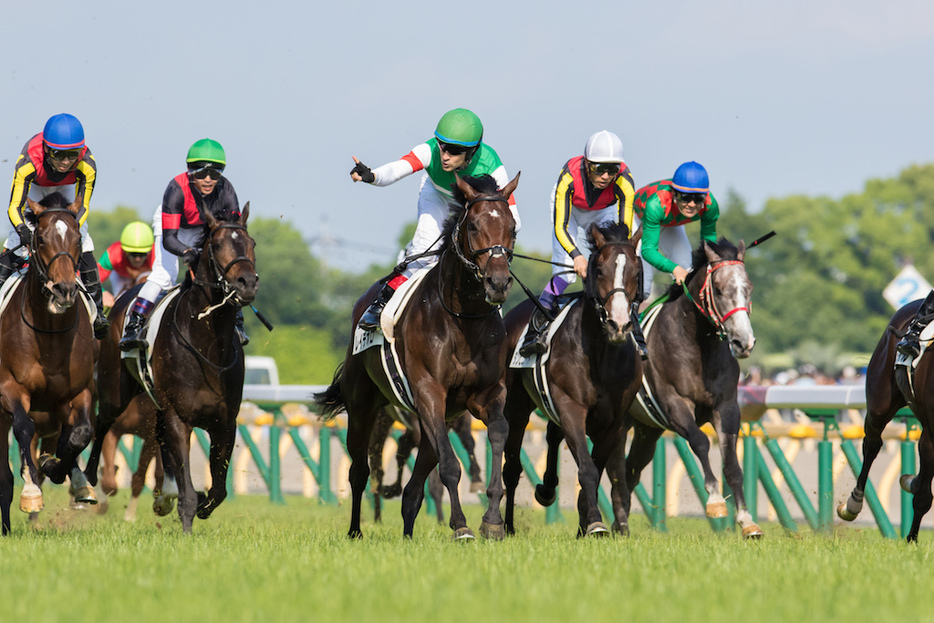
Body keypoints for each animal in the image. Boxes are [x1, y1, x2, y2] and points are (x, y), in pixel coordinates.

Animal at [0, 193, 96, 532]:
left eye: (77, 239)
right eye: (40, 239)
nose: (64, 290)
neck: (49, 334)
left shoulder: (78, 392)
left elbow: (81, 434)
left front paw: (59, 469)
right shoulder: (10, 388)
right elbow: (24, 428)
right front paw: (31, 493)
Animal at [84, 204, 258, 532]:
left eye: (251, 243)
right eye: (217, 245)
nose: (247, 282)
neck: (207, 347)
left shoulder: (225, 422)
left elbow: (218, 490)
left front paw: (198, 502)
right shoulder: (179, 417)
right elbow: (186, 487)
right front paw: (187, 515)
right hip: (115, 391)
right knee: (101, 423)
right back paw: (88, 479)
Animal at [314, 172, 520, 540]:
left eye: (512, 228)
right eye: (473, 227)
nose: (498, 283)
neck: (463, 320)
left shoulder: (485, 395)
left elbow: (497, 434)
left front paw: (492, 520)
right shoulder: (429, 392)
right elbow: (450, 466)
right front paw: (461, 526)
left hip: (433, 417)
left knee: (416, 481)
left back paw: (408, 530)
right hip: (365, 405)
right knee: (360, 471)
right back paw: (355, 530)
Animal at [504, 223, 644, 536]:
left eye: (636, 271)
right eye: (600, 270)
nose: (618, 324)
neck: (601, 354)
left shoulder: (614, 422)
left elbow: (596, 467)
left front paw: (585, 524)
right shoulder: (571, 408)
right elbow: (587, 469)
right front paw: (594, 523)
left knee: (552, 436)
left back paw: (546, 489)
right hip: (516, 407)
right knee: (511, 467)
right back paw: (505, 525)